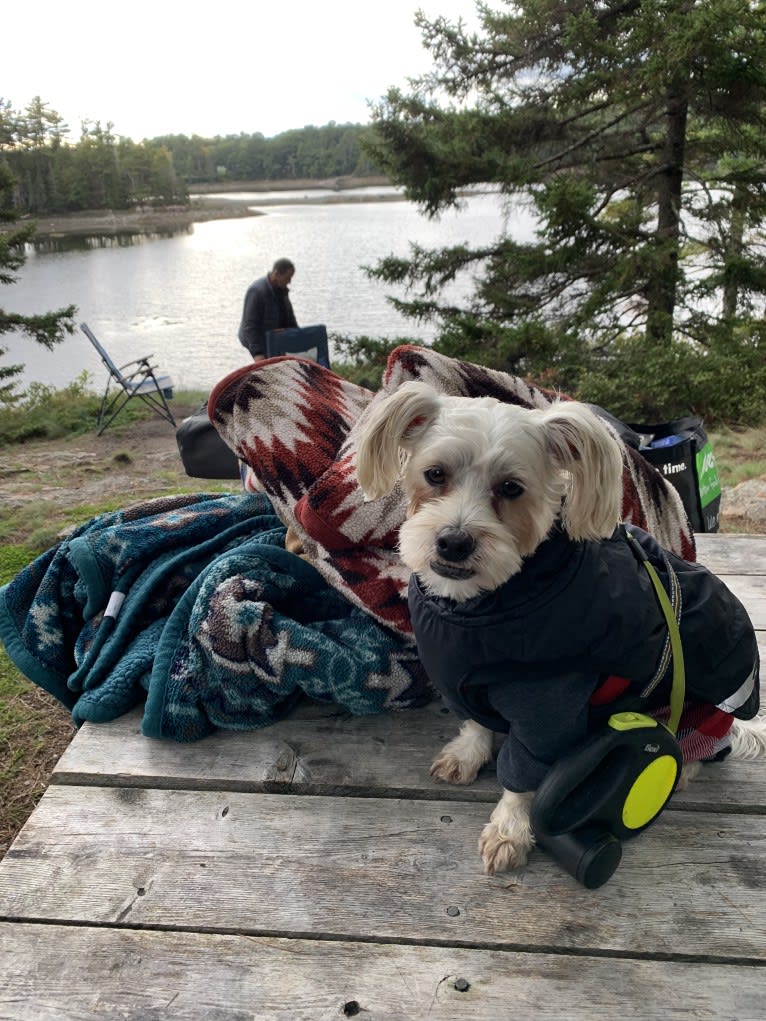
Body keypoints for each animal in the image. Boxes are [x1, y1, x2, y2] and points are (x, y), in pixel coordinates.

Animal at [357, 383, 763, 878]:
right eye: (434, 474)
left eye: (511, 488)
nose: (454, 541)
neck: (478, 605)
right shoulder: (463, 681)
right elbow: (476, 724)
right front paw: (468, 753)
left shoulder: (547, 712)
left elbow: (525, 774)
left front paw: (510, 830)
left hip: (697, 706)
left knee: (700, 746)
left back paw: (683, 766)